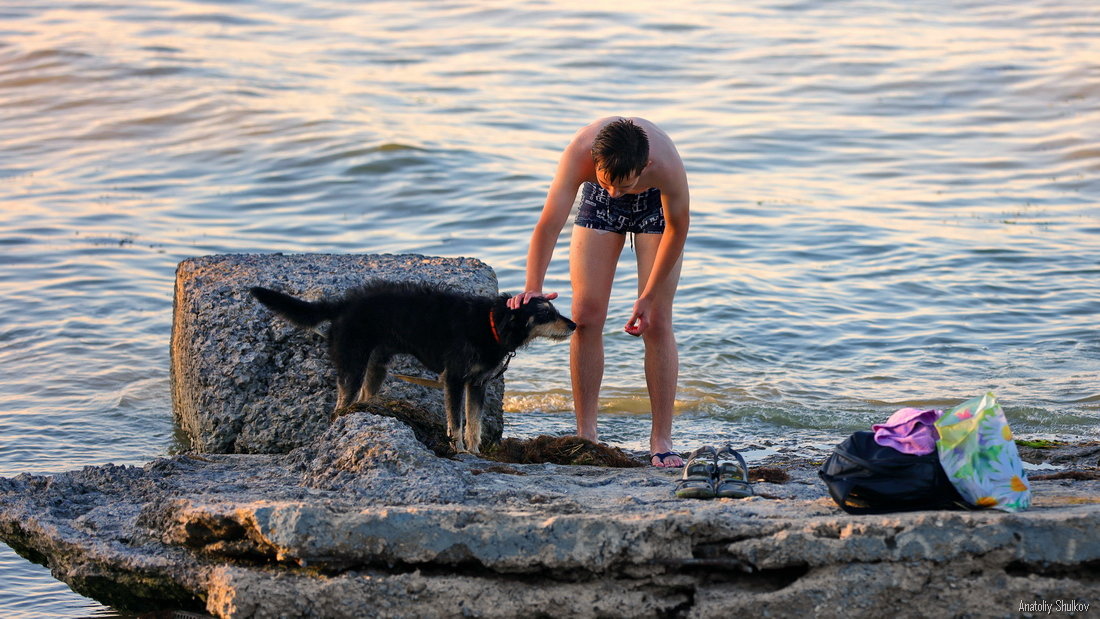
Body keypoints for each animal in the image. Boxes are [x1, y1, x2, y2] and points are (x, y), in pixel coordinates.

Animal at [249, 283, 576, 452]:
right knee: (340, 405)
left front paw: (474, 452)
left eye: (554, 310)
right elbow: (457, 423)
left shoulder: (477, 384)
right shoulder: (454, 379)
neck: (491, 324)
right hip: (353, 365)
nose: (574, 324)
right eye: (545, 314)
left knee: (363, 397)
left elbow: (475, 424)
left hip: (376, 367)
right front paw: (459, 451)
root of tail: (343, 304)